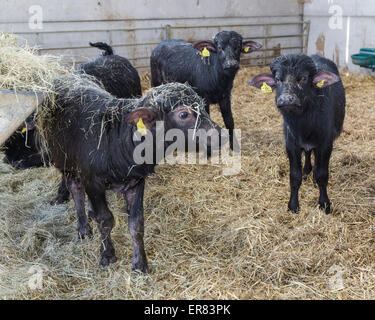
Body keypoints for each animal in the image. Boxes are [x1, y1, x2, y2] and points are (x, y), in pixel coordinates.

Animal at [42, 75, 228, 272]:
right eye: (184, 114)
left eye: (202, 106)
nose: (223, 136)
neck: (118, 140)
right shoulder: (93, 182)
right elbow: (105, 219)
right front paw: (107, 254)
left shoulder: (136, 182)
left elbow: (136, 224)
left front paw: (140, 263)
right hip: (66, 163)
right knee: (76, 190)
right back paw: (83, 228)